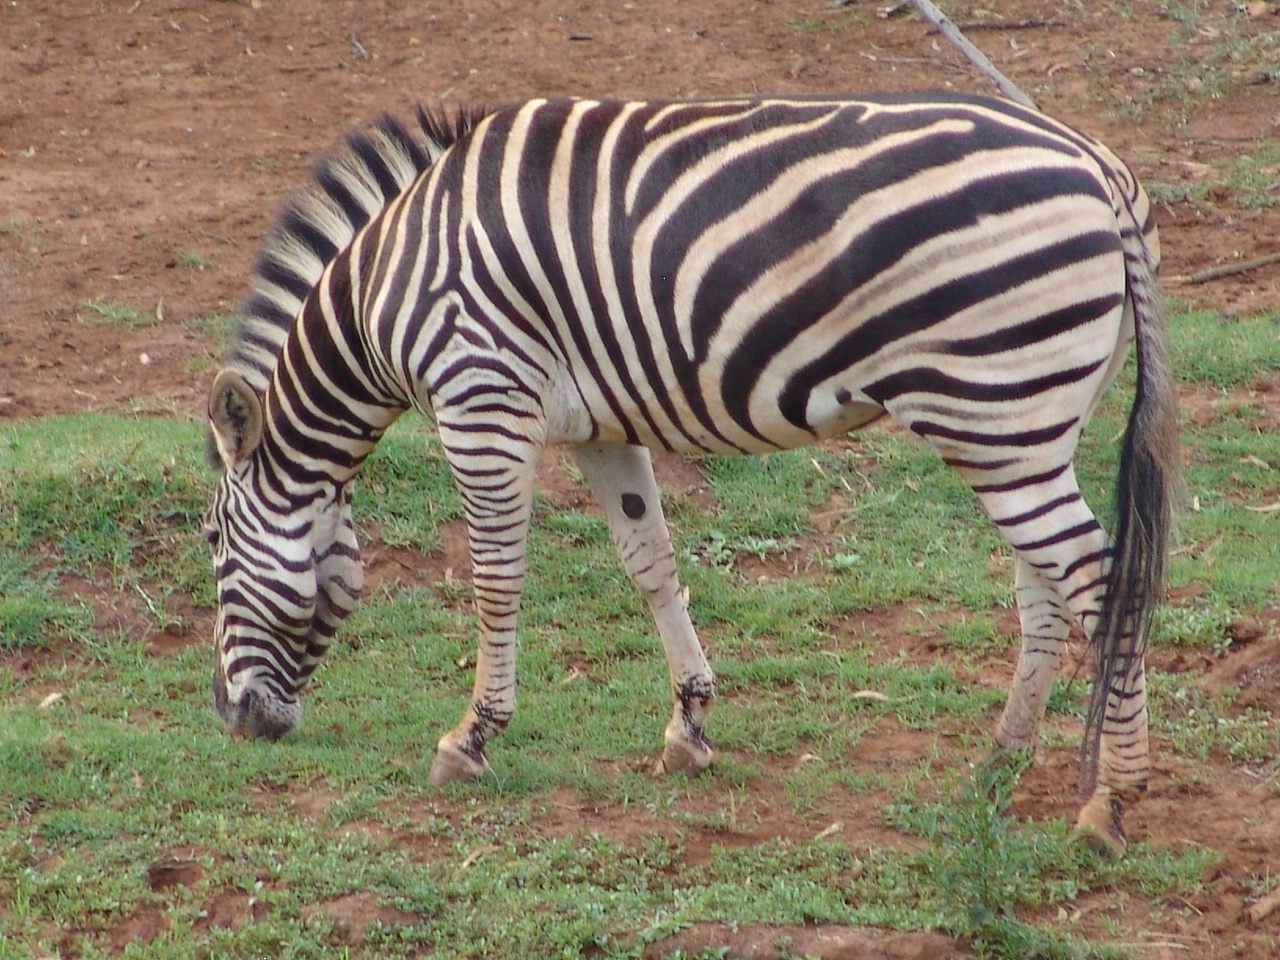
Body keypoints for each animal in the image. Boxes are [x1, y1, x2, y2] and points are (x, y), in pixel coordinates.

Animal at [204, 93, 1178, 854]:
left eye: (213, 543)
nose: (232, 722)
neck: (382, 294)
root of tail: (1097, 165)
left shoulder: (482, 403)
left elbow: (495, 582)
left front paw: (470, 738)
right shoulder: (599, 428)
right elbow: (651, 564)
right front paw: (690, 726)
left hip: (997, 405)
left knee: (1100, 583)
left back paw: (1112, 801)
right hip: (1022, 423)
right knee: (1046, 586)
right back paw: (1001, 762)